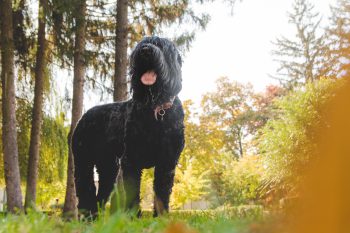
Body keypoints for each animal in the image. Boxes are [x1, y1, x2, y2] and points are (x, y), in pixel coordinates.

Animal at [72, 36, 186, 217]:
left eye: (161, 45)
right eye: (141, 44)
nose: (145, 50)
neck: (156, 110)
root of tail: (84, 116)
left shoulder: (167, 161)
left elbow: (162, 192)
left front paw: (161, 217)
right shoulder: (132, 159)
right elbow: (133, 190)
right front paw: (133, 216)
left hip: (108, 168)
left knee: (100, 195)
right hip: (84, 161)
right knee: (85, 190)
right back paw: (88, 217)